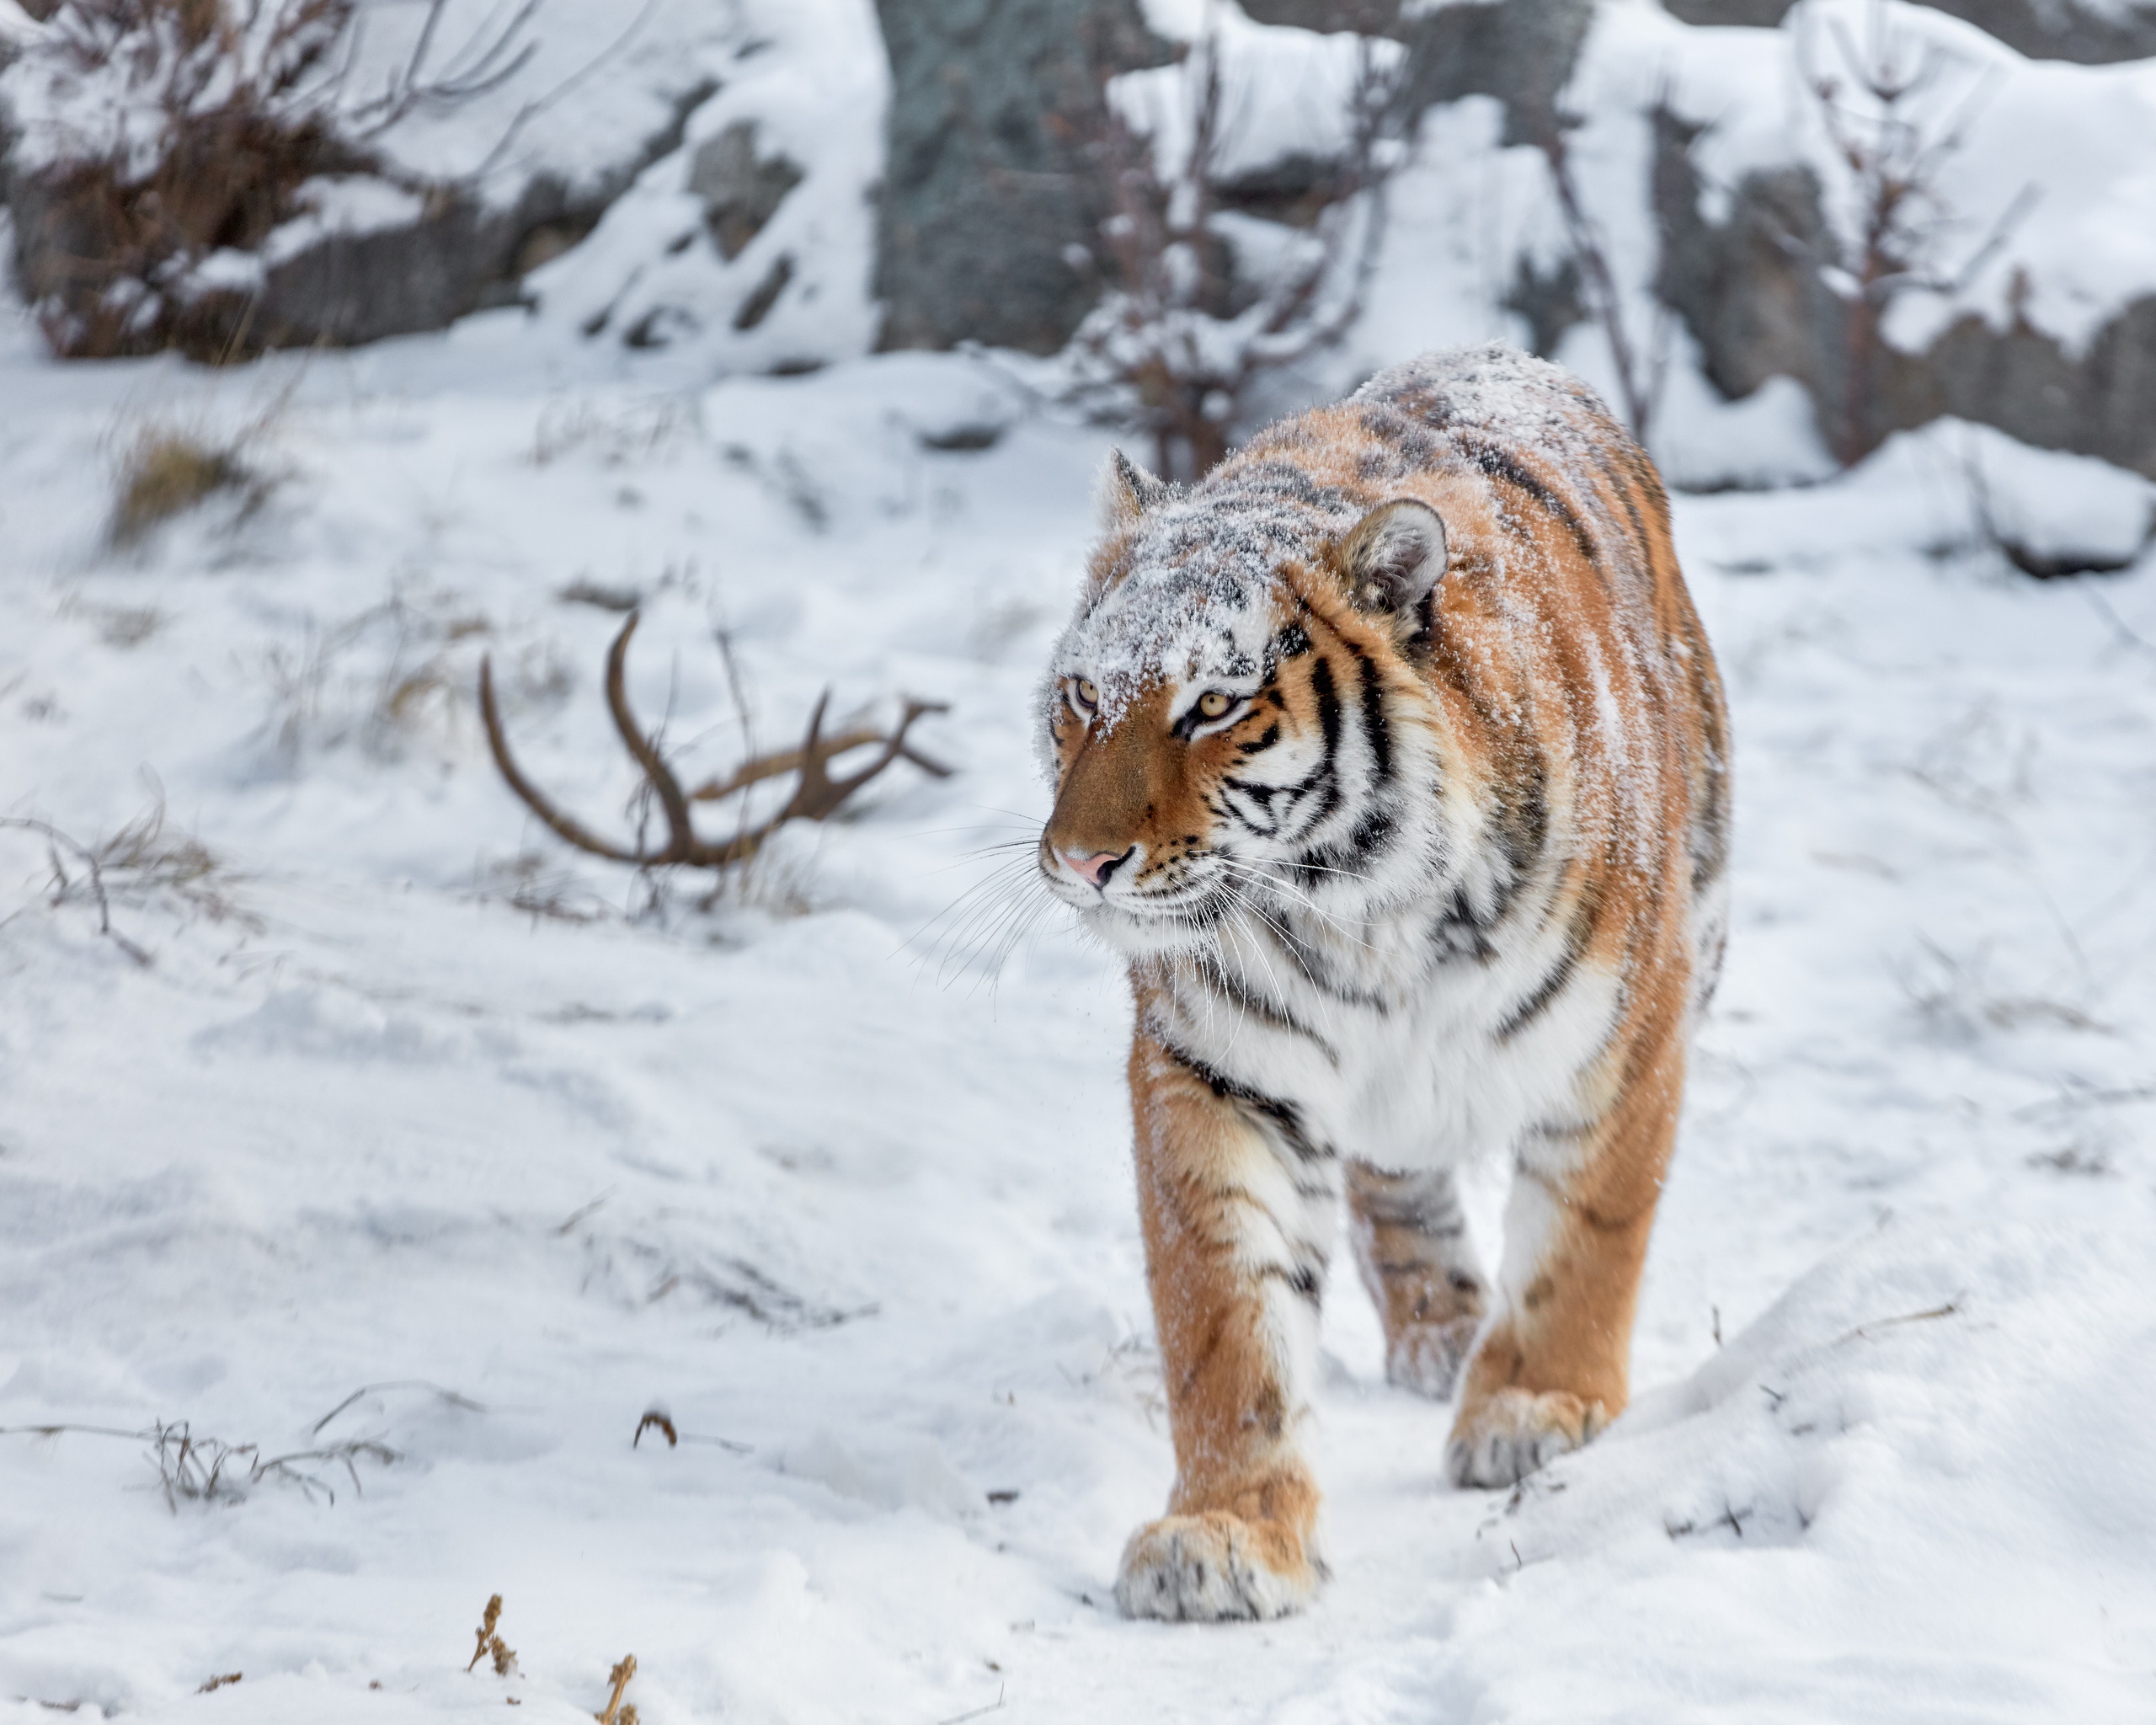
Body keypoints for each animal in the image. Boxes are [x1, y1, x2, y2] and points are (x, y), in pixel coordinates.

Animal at [1034, 343, 1725, 1621]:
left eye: (1213, 704)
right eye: (1082, 698)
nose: (1080, 862)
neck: (1361, 907)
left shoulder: (1626, 1030)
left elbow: (1586, 1235)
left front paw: (1537, 1407)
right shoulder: (1220, 1071)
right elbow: (1226, 1314)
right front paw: (1226, 1533)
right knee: (1394, 1178)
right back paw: (1435, 1331)